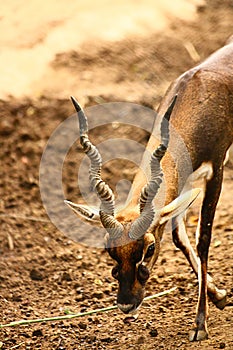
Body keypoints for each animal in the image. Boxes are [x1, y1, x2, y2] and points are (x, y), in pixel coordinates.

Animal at [65, 41, 233, 342]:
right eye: (109, 248)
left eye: (149, 247)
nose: (126, 303)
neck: (197, 94)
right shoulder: (182, 185)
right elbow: (179, 237)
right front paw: (219, 296)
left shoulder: (216, 169)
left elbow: (203, 240)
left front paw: (200, 324)